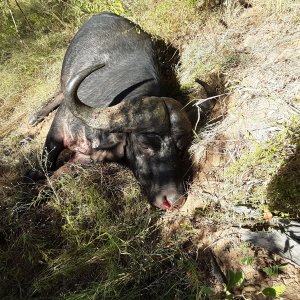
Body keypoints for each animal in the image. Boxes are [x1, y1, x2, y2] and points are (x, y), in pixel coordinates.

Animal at [32, 12, 192, 210]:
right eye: (144, 144)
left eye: (180, 148)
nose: (173, 200)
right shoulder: (58, 129)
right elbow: (44, 166)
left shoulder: (84, 158)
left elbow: (56, 177)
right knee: (60, 93)